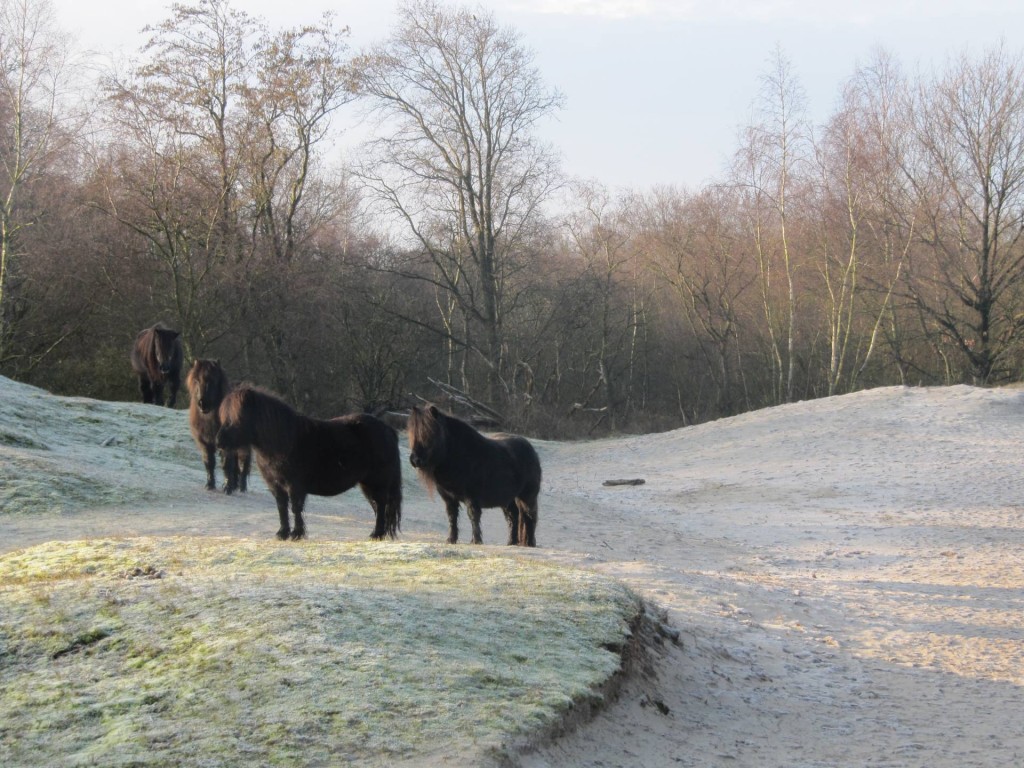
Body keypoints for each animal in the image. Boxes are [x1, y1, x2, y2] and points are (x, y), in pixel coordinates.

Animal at [186, 359, 252, 495]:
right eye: (196, 380)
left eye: (212, 381)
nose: (203, 403)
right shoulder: (205, 442)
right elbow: (209, 463)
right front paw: (210, 485)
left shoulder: (225, 443)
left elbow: (226, 464)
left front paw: (227, 488)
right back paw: (235, 485)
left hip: (244, 446)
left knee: (243, 463)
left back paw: (241, 488)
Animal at [216, 385, 402, 541]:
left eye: (238, 417)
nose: (218, 442)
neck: (283, 441)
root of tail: (387, 429)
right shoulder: (276, 486)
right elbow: (281, 508)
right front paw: (282, 533)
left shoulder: (295, 486)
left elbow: (295, 508)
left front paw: (297, 534)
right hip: (367, 484)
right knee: (378, 507)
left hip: (377, 482)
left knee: (381, 505)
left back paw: (377, 534)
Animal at [407, 404, 541, 547]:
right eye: (413, 433)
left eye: (429, 433)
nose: (415, 460)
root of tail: (531, 449)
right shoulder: (449, 499)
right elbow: (452, 517)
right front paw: (451, 539)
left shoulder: (471, 498)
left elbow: (473, 516)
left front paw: (476, 540)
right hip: (508, 499)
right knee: (513, 517)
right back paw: (511, 542)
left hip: (527, 496)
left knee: (529, 517)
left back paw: (529, 543)